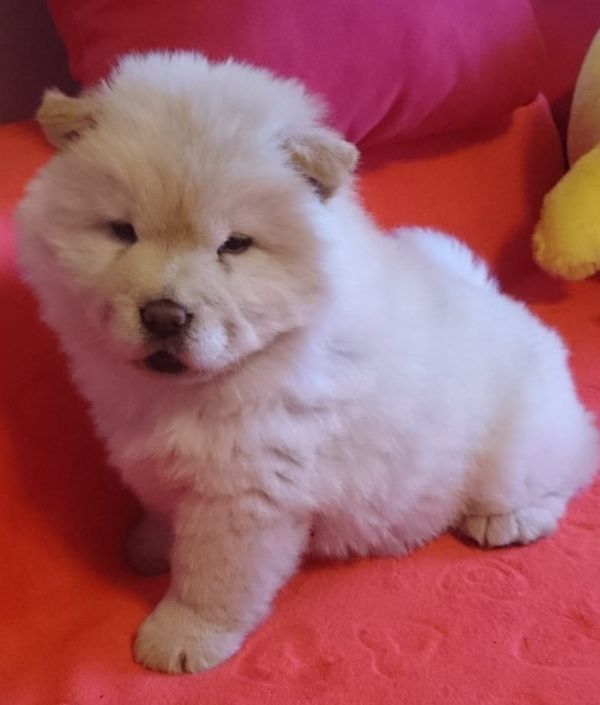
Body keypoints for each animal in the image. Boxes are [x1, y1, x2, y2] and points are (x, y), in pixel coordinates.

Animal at [17, 51, 598, 673]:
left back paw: (508, 519)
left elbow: (212, 578)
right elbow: (160, 506)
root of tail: (511, 307)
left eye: (234, 245)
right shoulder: (154, 458)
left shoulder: (246, 495)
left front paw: (178, 639)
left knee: (562, 469)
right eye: (122, 231)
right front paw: (148, 547)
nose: (165, 315)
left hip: (514, 447)